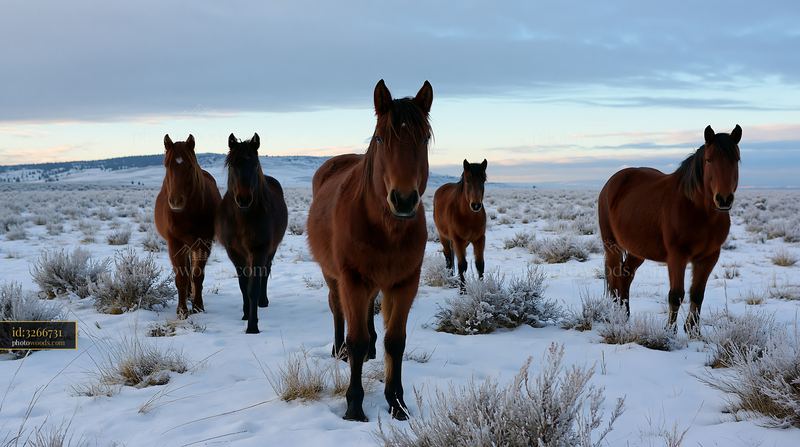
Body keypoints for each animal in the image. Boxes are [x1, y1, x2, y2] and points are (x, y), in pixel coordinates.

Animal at [154, 134, 222, 318]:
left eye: (190, 165)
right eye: (167, 164)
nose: (176, 201)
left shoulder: (204, 242)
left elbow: (197, 275)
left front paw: (198, 306)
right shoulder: (175, 244)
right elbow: (181, 278)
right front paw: (182, 310)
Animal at [216, 133, 288, 334]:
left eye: (255, 165)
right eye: (232, 165)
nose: (244, 198)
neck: (243, 218)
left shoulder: (259, 250)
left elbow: (253, 287)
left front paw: (252, 326)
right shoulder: (234, 253)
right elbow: (243, 285)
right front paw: (246, 314)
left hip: (270, 250)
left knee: (265, 271)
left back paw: (263, 301)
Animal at [306, 79, 433, 422]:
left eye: (424, 138)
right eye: (380, 137)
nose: (404, 199)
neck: (386, 229)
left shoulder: (404, 282)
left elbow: (396, 341)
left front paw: (397, 403)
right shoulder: (352, 279)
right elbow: (357, 339)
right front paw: (354, 405)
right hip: (333, 276)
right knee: (338, 309)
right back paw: (339, 350)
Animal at [433, 159, 488, 289]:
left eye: (483, 180)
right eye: (467, 180)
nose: (476, 205)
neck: (469, 217)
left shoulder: (479, 239)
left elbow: (480, 264)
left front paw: (482, 288)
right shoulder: (458, 240)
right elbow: (462, 265)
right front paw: (463, 290)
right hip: (444, 237)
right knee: (448, 256)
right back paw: (449, 277)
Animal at [598, 124, 741, 333]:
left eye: (736, 159)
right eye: (709, 160)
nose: (724, 199)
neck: (698, 210)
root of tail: (611, 183)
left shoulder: (709, 257)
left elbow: (697, 293)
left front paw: (693, 331)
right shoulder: (677, 256)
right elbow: (676, 294)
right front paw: (669, 332)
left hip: (638, 250)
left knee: (626, 275)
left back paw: (625, 315)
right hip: (612, 246)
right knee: (615, 278)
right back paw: (616, 316)